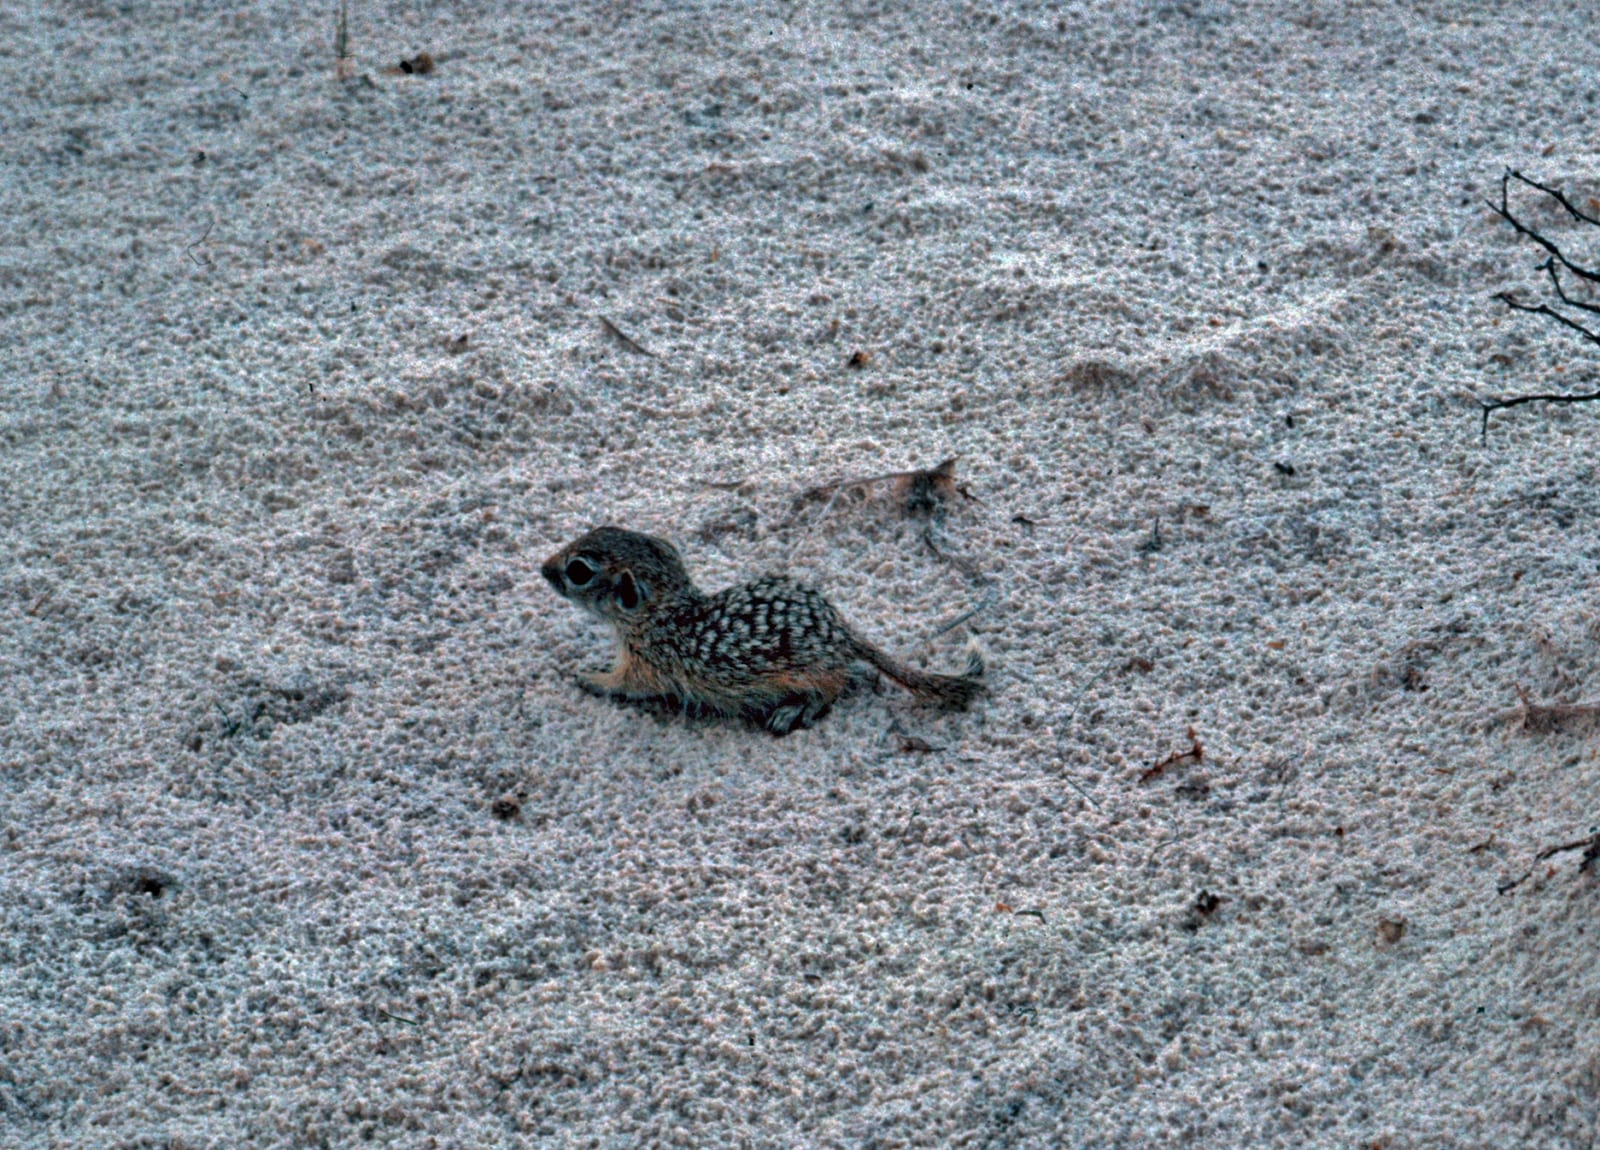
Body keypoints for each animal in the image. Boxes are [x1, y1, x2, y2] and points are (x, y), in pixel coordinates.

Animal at [541, 526, 984, 735]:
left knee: (834, 687)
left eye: (578, 570)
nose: (543, 568)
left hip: (808, 672)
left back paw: (792, 712)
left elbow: (623, 685)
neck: (666, 612)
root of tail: (840, 631)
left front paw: (588, 677)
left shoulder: (647, 668)